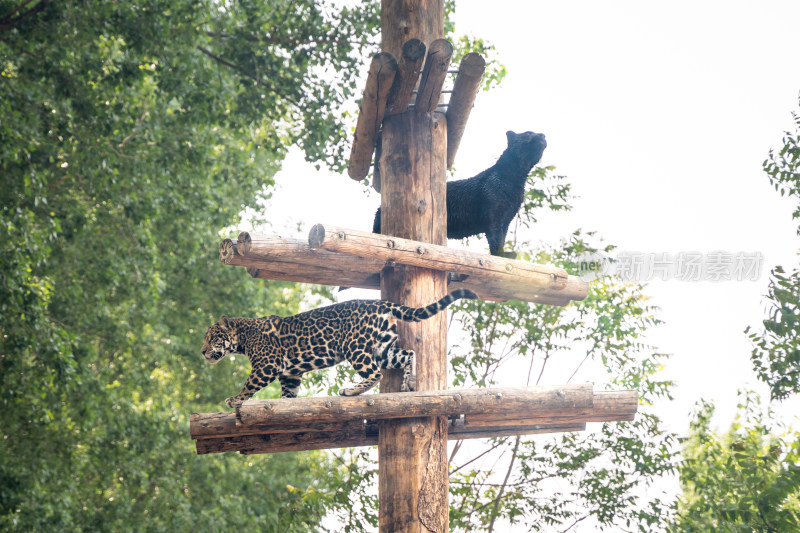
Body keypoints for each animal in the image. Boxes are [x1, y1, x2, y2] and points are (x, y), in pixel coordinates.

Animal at [202, 288, 476, 406]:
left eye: (213, 337)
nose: (203, 352)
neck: (243, 337)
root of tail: (383, 303)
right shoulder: (291, 374)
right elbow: (288, 393)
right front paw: (285, 405)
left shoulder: (266, 366)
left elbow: (248, 385)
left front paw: (235, 399)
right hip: (382, 348)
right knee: (409, 353)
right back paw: (408, 382)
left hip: (355, 348)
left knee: (375, 374)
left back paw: (350, 392)